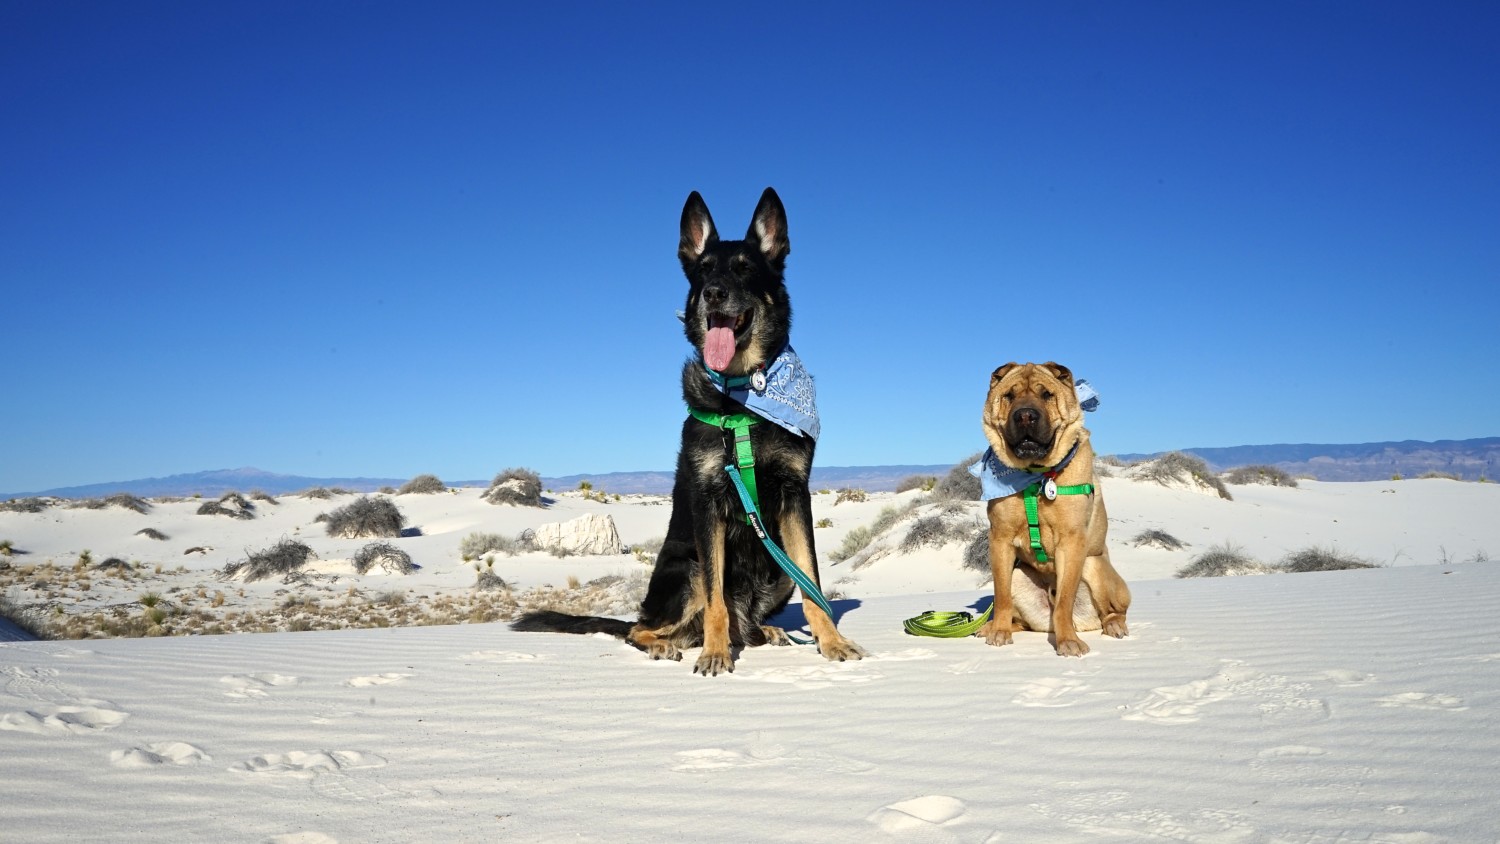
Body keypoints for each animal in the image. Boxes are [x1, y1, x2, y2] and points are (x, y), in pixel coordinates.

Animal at [516, 188, 870, 677]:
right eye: (702, 271)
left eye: (744, 268)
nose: (711, 293)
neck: (742, 399)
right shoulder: (709, 502)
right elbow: (716, 600)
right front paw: (715, 655)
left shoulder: (795, 494)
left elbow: (813, 586)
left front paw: (832, 642)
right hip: (686, 569)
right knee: (643, 627)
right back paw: (669, 645)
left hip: (775, 568)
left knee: (746, 621)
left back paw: (765, 632)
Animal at [978, 359, 1128, 656]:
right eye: (1009, 395)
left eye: (1046, 394)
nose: (1025, 416)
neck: (1037, 478)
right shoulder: (1000, 538)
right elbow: (1001, 596)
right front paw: (998, 631)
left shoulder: (1071, 542)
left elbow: (1064, 604)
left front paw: (1068, 641)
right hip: (1019, 576)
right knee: (1020, 617)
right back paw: (991, 627)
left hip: (1094, 566)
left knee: (1112, 612)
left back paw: (1114, 625)